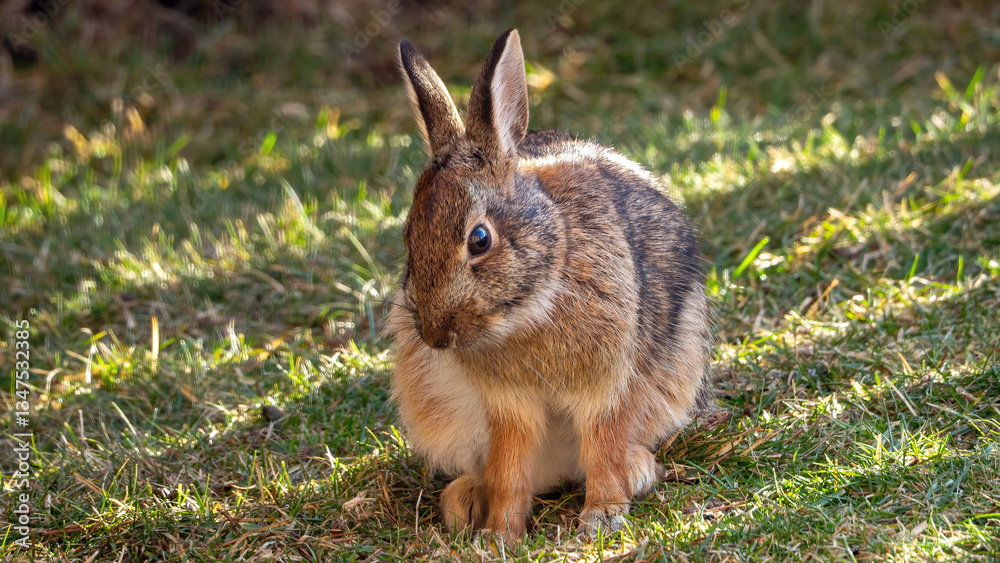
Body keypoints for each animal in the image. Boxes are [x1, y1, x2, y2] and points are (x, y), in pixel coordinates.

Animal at [385, 28, 713, 543]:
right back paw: (466, 501)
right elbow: (509, 464)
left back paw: (636, 470)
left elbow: (602, 444)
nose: (436, 337)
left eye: (479, 239)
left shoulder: (607, 382)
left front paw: (603, 516)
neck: (531, 308)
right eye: (409, 238)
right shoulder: (508, 405)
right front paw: (499, 534)